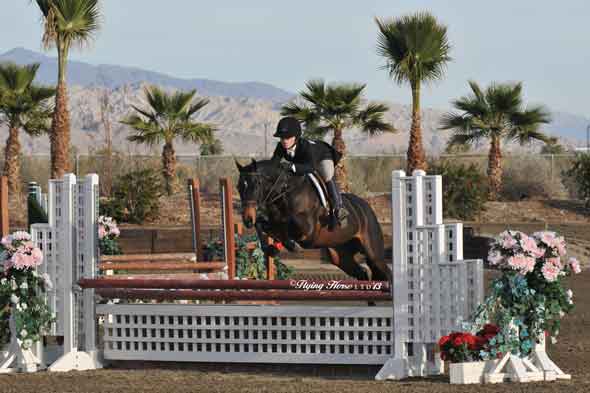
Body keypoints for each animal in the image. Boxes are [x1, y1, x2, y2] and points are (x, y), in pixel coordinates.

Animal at [236, 159, 394, 282]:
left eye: (256, 184)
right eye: (238, 187)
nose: (247, 219)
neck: (285, 192)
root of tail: (366, 207)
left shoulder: (308, 231)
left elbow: (287, 226)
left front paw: (291, 245)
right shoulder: (272, 221)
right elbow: (264, 225)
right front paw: (272, 248)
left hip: (374, 253)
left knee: (386, 273)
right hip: (340, 255)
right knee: (363, 274)